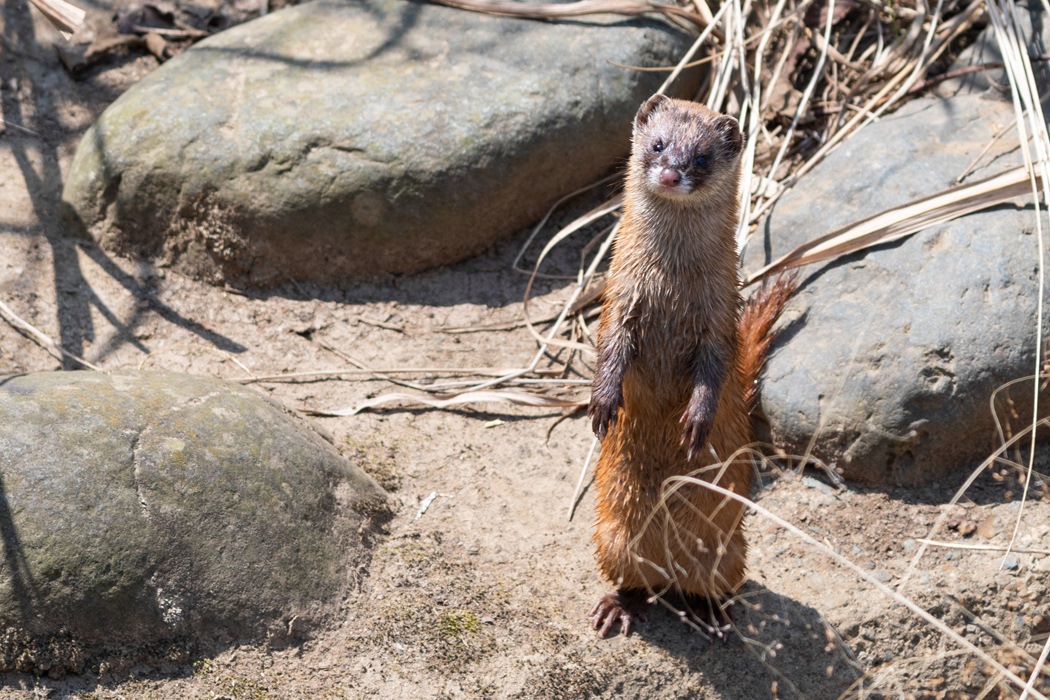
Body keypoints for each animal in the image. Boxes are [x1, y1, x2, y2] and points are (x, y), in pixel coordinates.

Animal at [588, 94, 789, 642]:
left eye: (701, 157)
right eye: (658, 144)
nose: (672, 172)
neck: (671, 284)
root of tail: (668, 566)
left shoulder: (720, 317)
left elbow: (714, 372)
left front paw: (696, 422)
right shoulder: (619, 297)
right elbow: (609, 350)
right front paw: (603, 404)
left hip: (729, 551)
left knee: (708, 584)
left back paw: (713, 615)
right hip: (612, 535)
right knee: (636, 580)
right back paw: (617, 607)